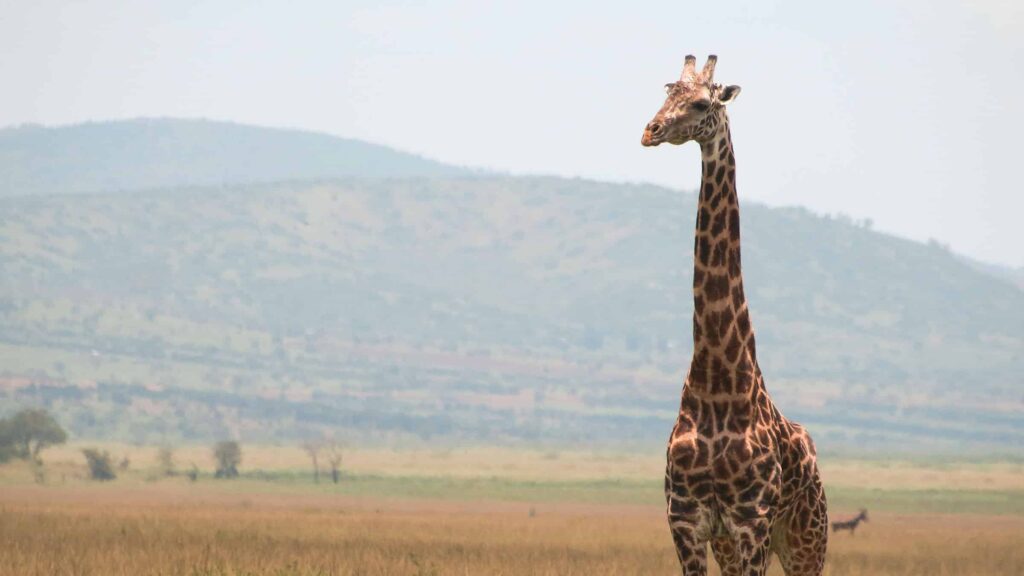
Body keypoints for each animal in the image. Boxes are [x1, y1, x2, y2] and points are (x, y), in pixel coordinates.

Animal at [641, 55, 829, 575]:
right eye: (667, 92)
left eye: (702, 103)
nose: (650, 130)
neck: (717, 381)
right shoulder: (687, 521)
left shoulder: (752, 522)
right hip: (733, 543)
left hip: (808, 538)